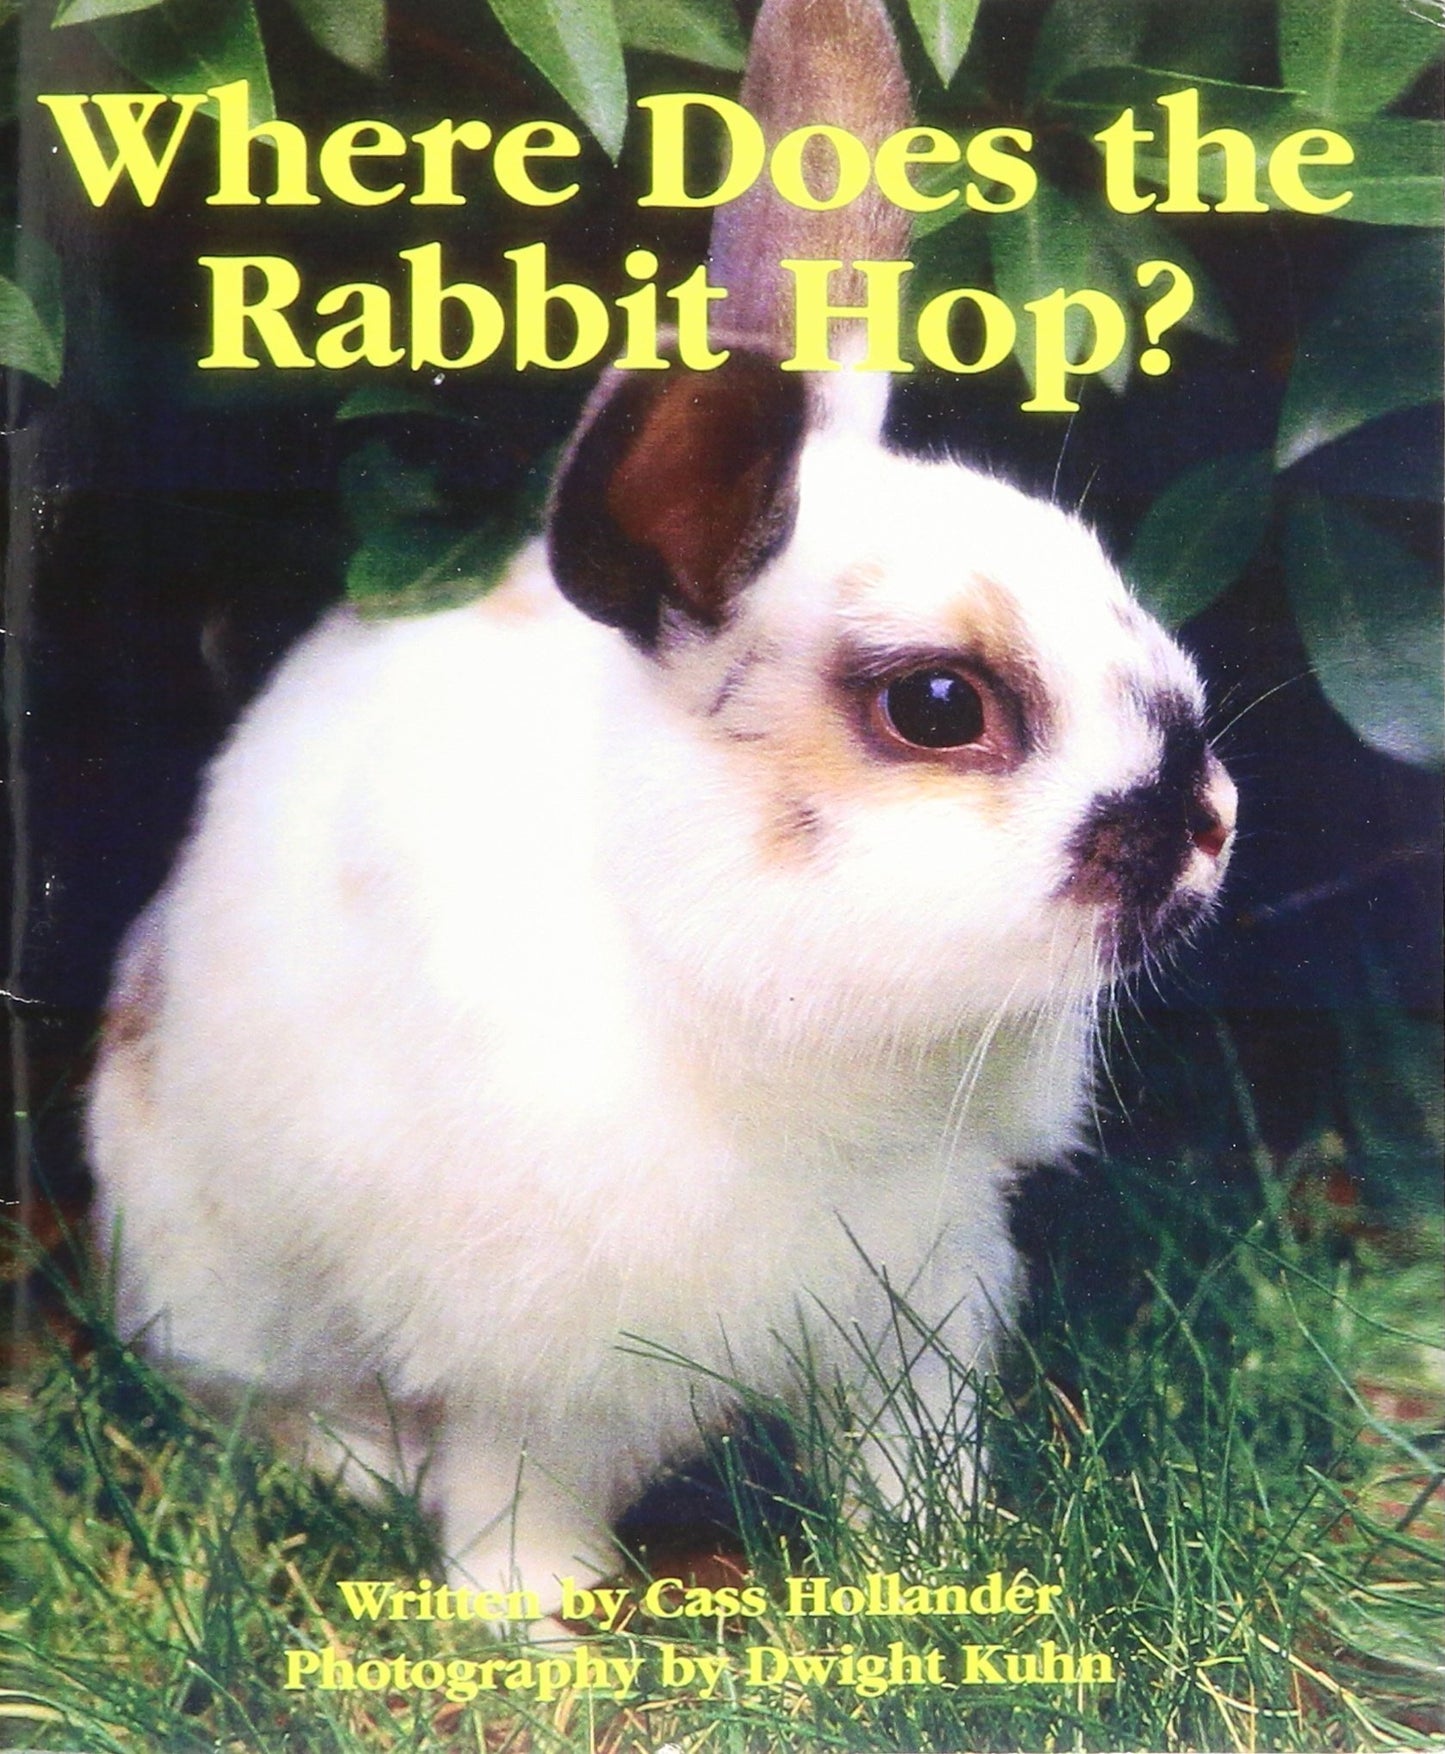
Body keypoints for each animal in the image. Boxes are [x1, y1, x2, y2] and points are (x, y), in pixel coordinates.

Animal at [86, 0, 1237, 1612]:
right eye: (937, 705)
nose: (1205, 820)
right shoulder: (529, 1349)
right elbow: (513, 1490)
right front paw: (531, 1625)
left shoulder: (913, 1301)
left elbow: (907, 1460)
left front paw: (930, 1563)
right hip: (212, 1266)